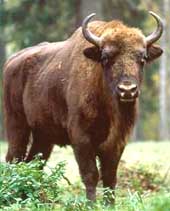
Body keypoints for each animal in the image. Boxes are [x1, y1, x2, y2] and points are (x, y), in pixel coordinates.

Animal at [3, 11, 163, 201]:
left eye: (143, 58)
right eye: (105, 57)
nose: (127, 90)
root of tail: (11, 62)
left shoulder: (117, 142)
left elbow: (109, 177)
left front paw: (110, 204)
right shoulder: (81, 138)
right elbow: (91, 174)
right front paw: (91, 203)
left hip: (44, 136)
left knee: (34, 163)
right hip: (17, 126)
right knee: (14, 158)